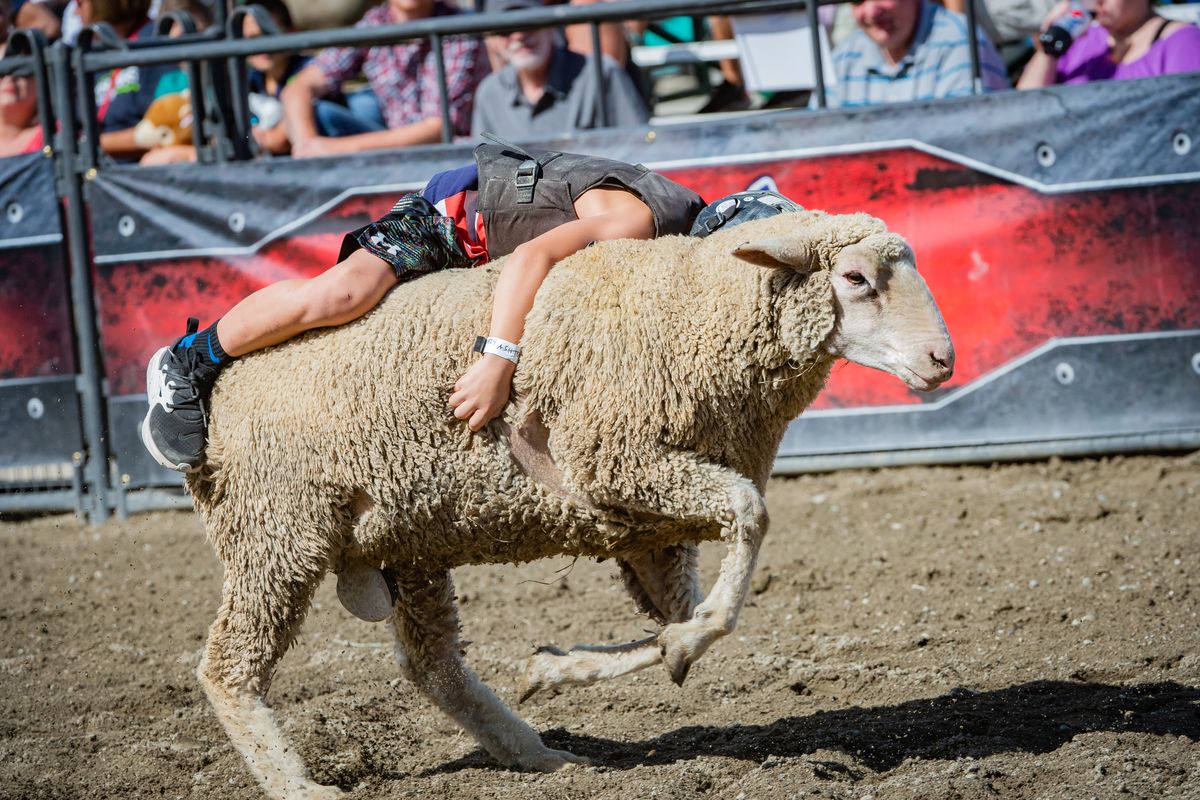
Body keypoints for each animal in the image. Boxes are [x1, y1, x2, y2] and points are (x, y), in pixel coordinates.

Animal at [189, 209, 955, 796]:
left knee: (432, 664)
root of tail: (223, 395)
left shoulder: (651, 524)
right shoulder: (619, 464)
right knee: (227, 666)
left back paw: (536, 753)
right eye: (855, 279)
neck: (692, 301)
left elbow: (683, 616)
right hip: (277, 529)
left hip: (408, 539)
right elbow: (748, 519)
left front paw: (562, 666)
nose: (944, 360)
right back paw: (296, 783)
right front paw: (672, 645)